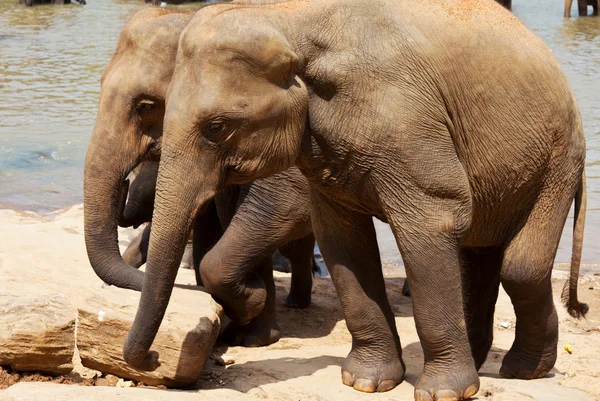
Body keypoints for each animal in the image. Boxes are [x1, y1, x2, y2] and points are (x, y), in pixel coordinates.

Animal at [83, 5, 318, 344]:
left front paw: (246, 329)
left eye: (146, 106)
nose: (125, 183)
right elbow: (222, 220)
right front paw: (247, 333)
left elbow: (276, 209)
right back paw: (296, 302)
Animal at [122, 1, 592, 398]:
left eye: (216, 127)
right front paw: (367, 382)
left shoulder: (405, 117)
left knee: (520, 268)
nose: (154, 358)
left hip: (558, 159)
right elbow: (342, 240)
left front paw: (443, 393)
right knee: (479, 261)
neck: (289, 19)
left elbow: (434, 221)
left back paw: (524, 370)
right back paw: (486, 362)